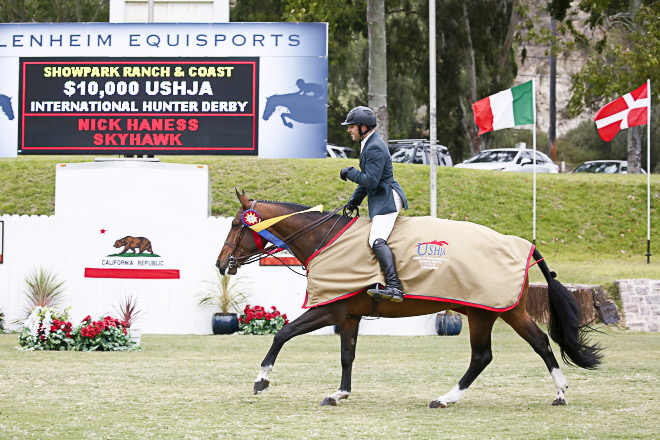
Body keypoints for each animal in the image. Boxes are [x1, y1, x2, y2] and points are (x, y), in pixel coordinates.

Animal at [218, 191, 604, 408]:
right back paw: (560, 393)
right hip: (503, 310)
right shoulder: (349, 317)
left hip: (486, 312)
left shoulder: (328, 310)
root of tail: (522, 244)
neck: (323, 239)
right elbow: (347, 355)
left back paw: (446, 399)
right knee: (536, 343)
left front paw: (262, 379)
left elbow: (282, 334)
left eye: (236, 225)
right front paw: (340, 394)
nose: (221, 264)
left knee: (486, 355)